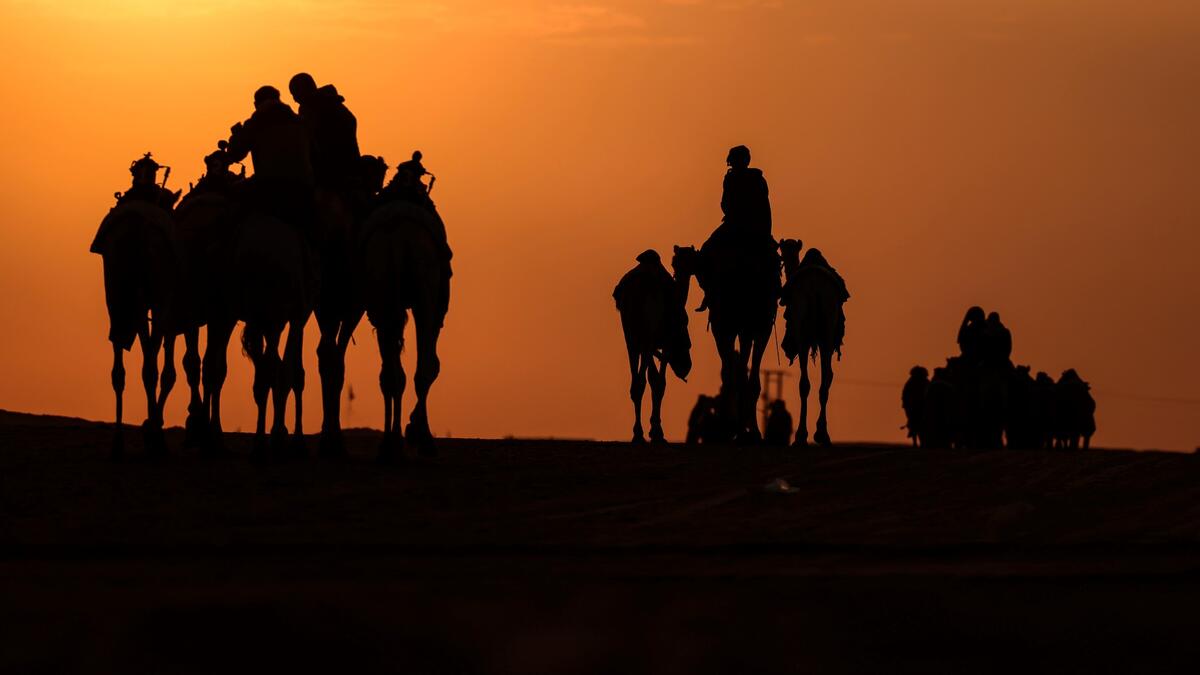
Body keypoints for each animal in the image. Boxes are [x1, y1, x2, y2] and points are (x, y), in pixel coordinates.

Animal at [90, 200, 182, 458]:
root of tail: (136, 227)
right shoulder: (166, 307)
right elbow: (166, 371)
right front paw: (153, 428)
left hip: (117, 297)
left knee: (118, 366)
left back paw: (118, 442)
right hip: (150, 299)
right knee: (149, 365)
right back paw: (154, 439)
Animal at [359, 200, 450, 459]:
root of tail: (399, 237)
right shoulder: (433, 309)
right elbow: (432, 365)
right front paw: (413, 429)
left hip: (383, 298)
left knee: (391, 374)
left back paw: (390, 444)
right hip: (425, 295)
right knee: (423, 369)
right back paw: (425, 442)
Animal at [612, 249, 693, 443]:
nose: (686, 366)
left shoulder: (643, 342)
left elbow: (651, 377)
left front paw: (652, 430)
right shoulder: (666, 340)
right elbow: (659, 382)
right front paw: (657, 431)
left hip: (631, 336)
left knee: (636, 382)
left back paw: (637, 433)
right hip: (647, 334)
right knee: (645, 381)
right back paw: (642, 433)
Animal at [673, 241, 779, 442]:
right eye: (674, 264)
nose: (678, 281)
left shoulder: (736, 328)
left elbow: (737, 374)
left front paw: (737, 429)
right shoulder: (727, 328)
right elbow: (731, 374)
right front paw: (732, 428)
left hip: (754, 326)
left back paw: (746, 430)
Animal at [778, 239, 849, 447]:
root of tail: (816, 289)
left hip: (803, 334)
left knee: (805, 383)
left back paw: (801, 435)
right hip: (827, 331)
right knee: (826, 379)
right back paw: (823, 434)